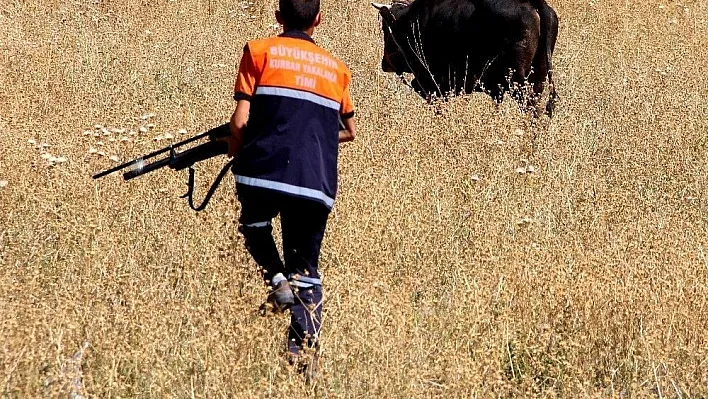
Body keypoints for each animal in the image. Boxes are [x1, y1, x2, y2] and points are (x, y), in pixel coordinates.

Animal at [370, 0, 560, 117]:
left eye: (385, 28)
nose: (385, 63)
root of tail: (533, 3)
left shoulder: (433, 84)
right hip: (538, 78)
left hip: (518, 82)